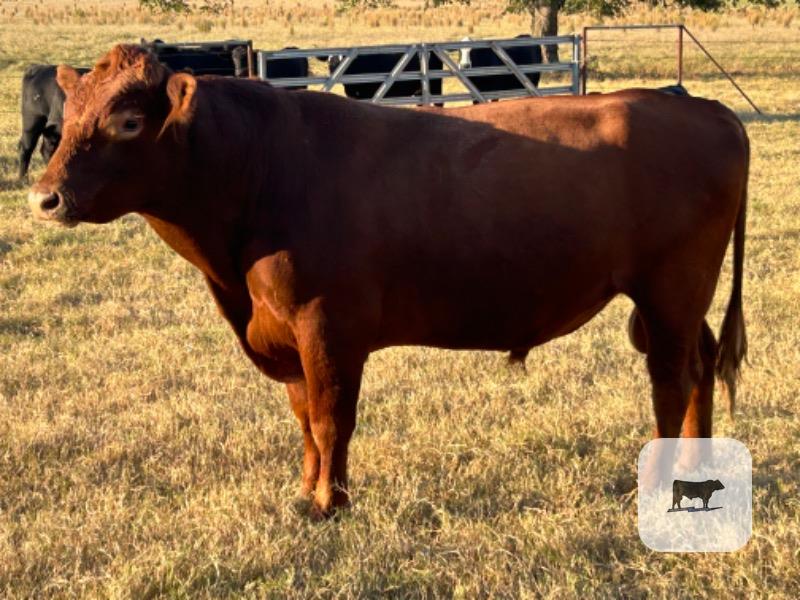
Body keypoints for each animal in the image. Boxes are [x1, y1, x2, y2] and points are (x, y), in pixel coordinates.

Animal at [29, 45, 749, 517]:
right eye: (64, 121)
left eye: (127, 121)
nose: (45, 197)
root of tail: (699, 106)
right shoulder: (283, 330)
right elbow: (304, 419)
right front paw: (306, 492)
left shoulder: (328, 324)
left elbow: (330, 419)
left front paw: (330, 504)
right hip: (680, 297)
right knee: (701, 361)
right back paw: (697, 467)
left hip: (670, 286)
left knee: (671, 376)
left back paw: (660, 480)